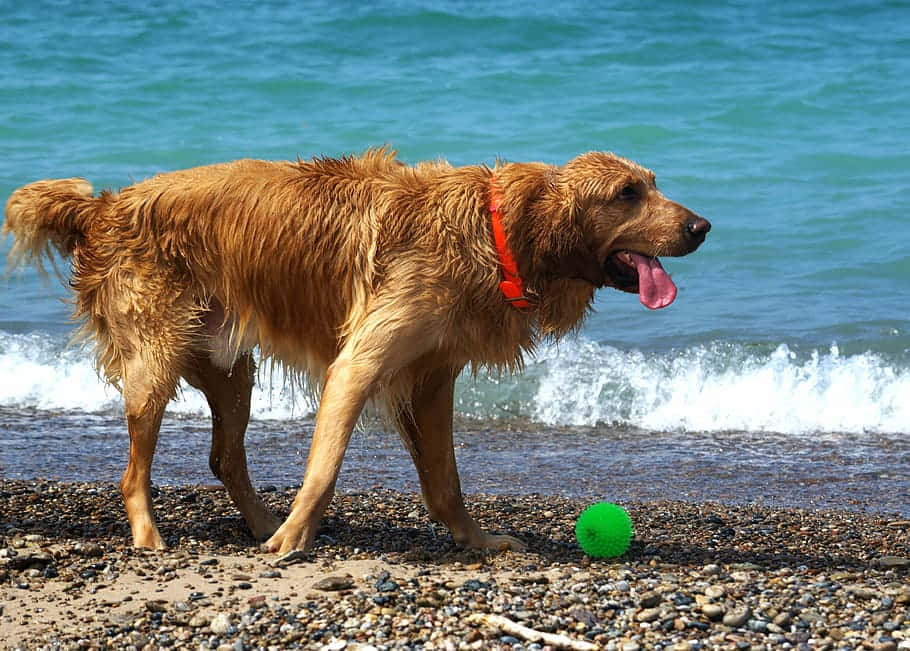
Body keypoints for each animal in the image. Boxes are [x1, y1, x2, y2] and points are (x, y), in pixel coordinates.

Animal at [3, 152, 708, 556]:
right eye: (626, 193)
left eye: (652, 185)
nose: (702, 227)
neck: (496, 231)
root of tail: (102, 205)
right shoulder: (359, 363)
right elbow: (324, 468)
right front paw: (295, 539)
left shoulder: (432, 377)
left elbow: (445, 480)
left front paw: (475, 540)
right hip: (157, 357)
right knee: (134, 472)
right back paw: (153, 536)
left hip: (230, 366)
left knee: (224, 455)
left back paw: (259, 522)